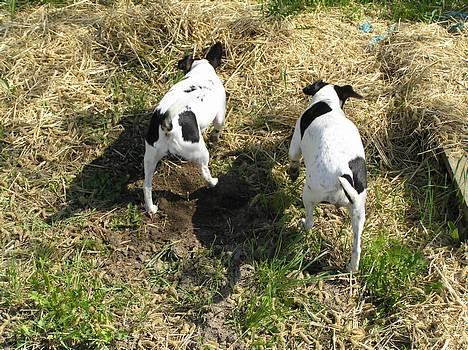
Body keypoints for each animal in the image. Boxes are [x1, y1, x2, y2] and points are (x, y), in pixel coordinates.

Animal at [144, 42, 227, 215]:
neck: (200, 71)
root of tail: (166, 123)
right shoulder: (220, 115)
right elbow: (217, 129)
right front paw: (215, 139)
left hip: (150, 157)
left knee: (146, 186)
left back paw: (151, 208)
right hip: (201, 152)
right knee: (205, 171)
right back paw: (213, 182)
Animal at [288, 80, 370, 272]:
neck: (327, 103)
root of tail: (343, 172)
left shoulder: (295, 144)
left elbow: (293, 159)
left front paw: (293, 172)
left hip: (309, 195)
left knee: (310, 222)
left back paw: (302, 225)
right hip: (358, 212)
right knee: (357, 247)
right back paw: (352, 268)